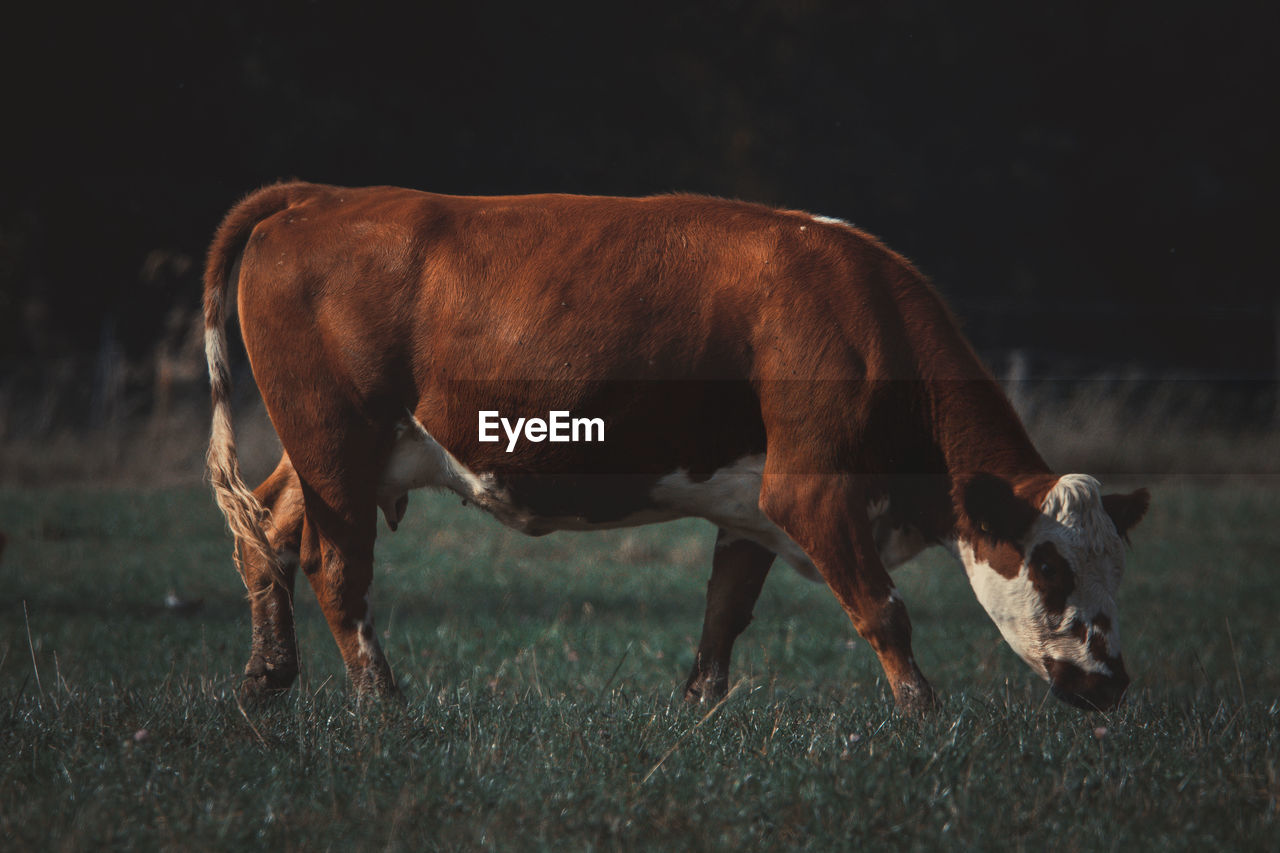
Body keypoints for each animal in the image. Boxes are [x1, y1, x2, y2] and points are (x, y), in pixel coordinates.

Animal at [202, 184, 1152, 712]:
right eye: (1051, 567)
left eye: (1117, 563)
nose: (1111, 678)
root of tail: (321, 195)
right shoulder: (812, 491)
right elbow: (884, 610)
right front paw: (925, 716)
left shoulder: (754, 507)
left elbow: (722, 616)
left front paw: (698, 712)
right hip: (335, 439)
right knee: (335, 566)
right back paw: (381, 703)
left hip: (337, 452)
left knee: (266, 530)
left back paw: (266, 677)